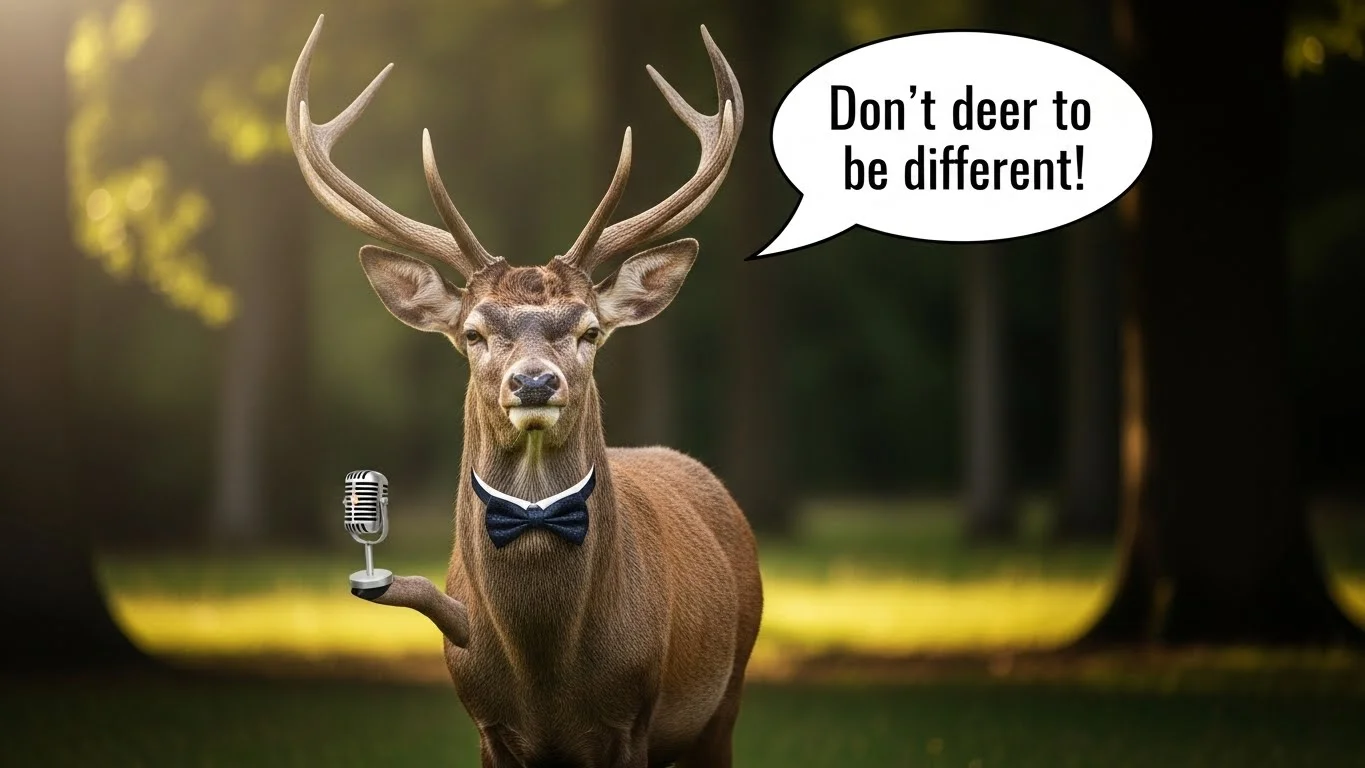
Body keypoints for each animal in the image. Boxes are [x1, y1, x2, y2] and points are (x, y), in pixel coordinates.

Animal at [285, 16, 763, 768]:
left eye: (591, 330)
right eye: (473, 332)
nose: (535, 380)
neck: (544, 672)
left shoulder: (632, 721)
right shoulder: (488, 727)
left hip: (727, 696)